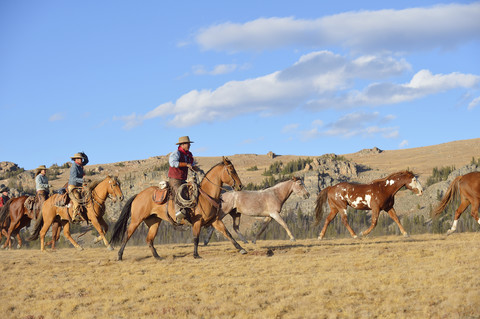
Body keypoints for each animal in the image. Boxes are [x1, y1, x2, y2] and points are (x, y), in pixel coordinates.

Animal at [109, 158, 244, 260]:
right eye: (231, 170)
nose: (240, 186)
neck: (206, 195)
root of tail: (138, 195)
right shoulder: (197, 222)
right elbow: (196, 238)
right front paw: (196, 255)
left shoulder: (215, 221)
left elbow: (227, 233)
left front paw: (241, 248)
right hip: (136, 220)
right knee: (127, 235)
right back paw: (119, 256)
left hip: (154, 222)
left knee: (149, 239)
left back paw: (157, 257)